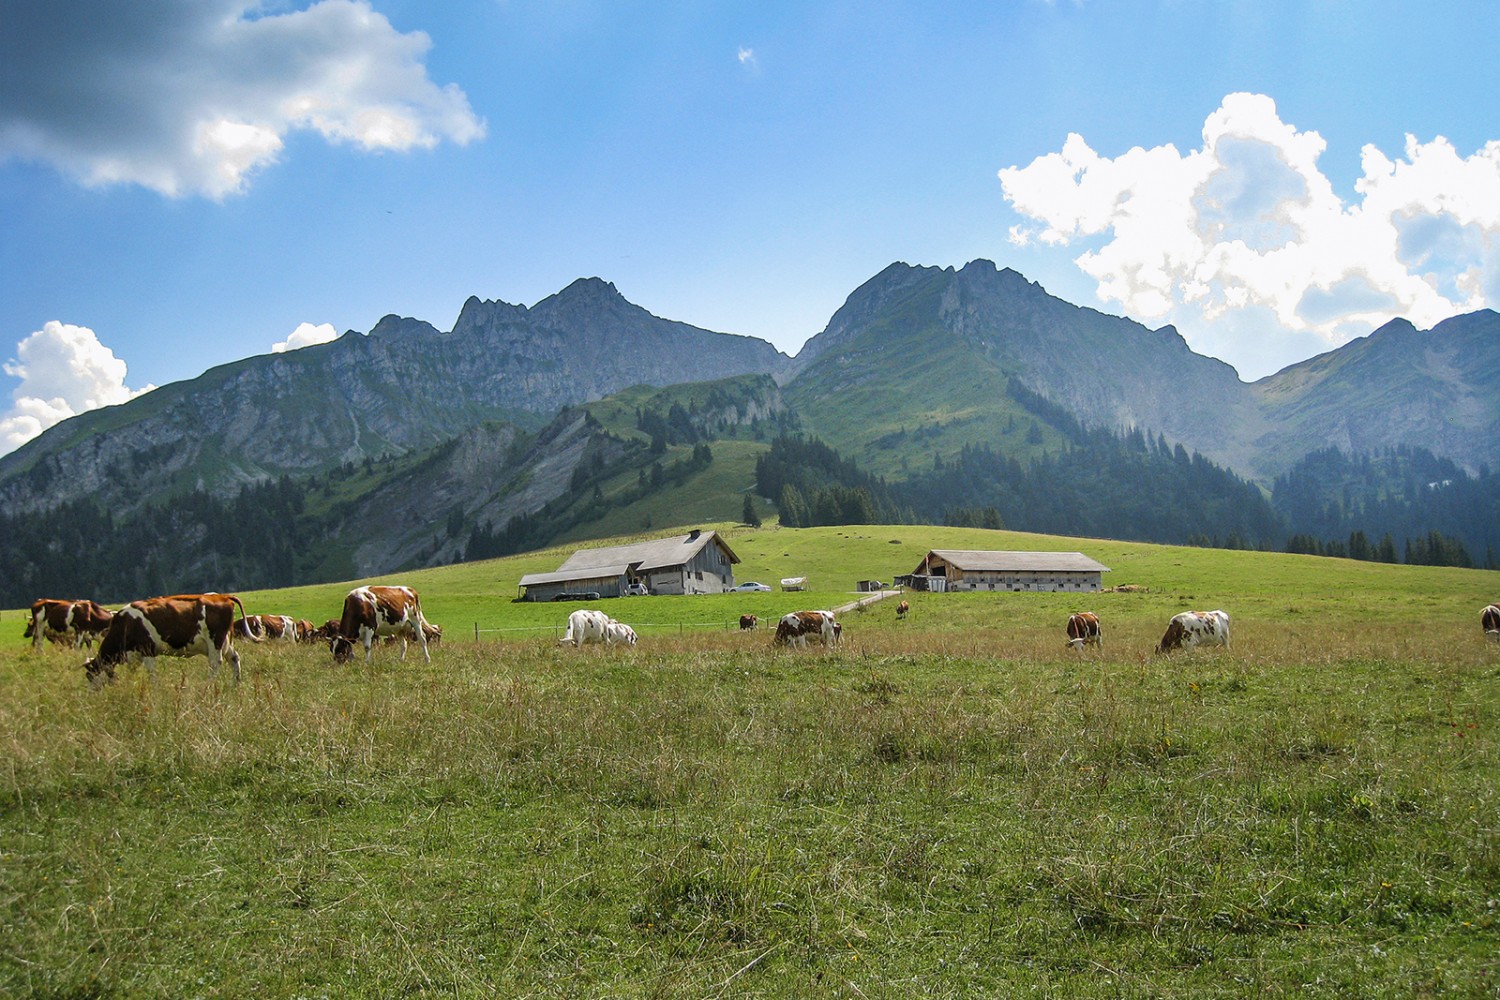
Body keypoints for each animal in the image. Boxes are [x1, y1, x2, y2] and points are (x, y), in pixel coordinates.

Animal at [82, 593, 247, 689]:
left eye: (90, 677)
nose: (91, 694)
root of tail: (222, 596)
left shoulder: (147, 649)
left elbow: (151, 673)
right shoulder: (134, 655)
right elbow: (131, 672)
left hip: (215, 640)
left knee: (215, 664)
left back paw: (206, 687)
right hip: (226, 641)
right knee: (234, 658)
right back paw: (236, 684)